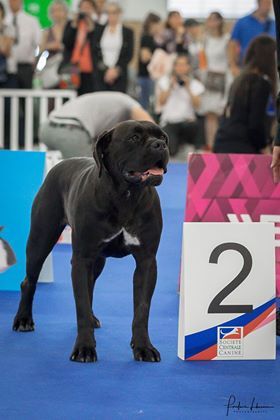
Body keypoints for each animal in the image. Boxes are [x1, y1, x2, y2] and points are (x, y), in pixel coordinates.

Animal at [12, 120, 168, 362]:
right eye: (133, 138)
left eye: (162, 137)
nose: (160, 145)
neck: (126, 196)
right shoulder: (82, 258)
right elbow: (81, 306)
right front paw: (85, 348)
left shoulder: (147, 262)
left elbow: (141, 309)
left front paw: (143, 347)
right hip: (40, 240)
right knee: (29, 281)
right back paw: (23, 319)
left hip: (97, 260)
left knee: (90, 285)